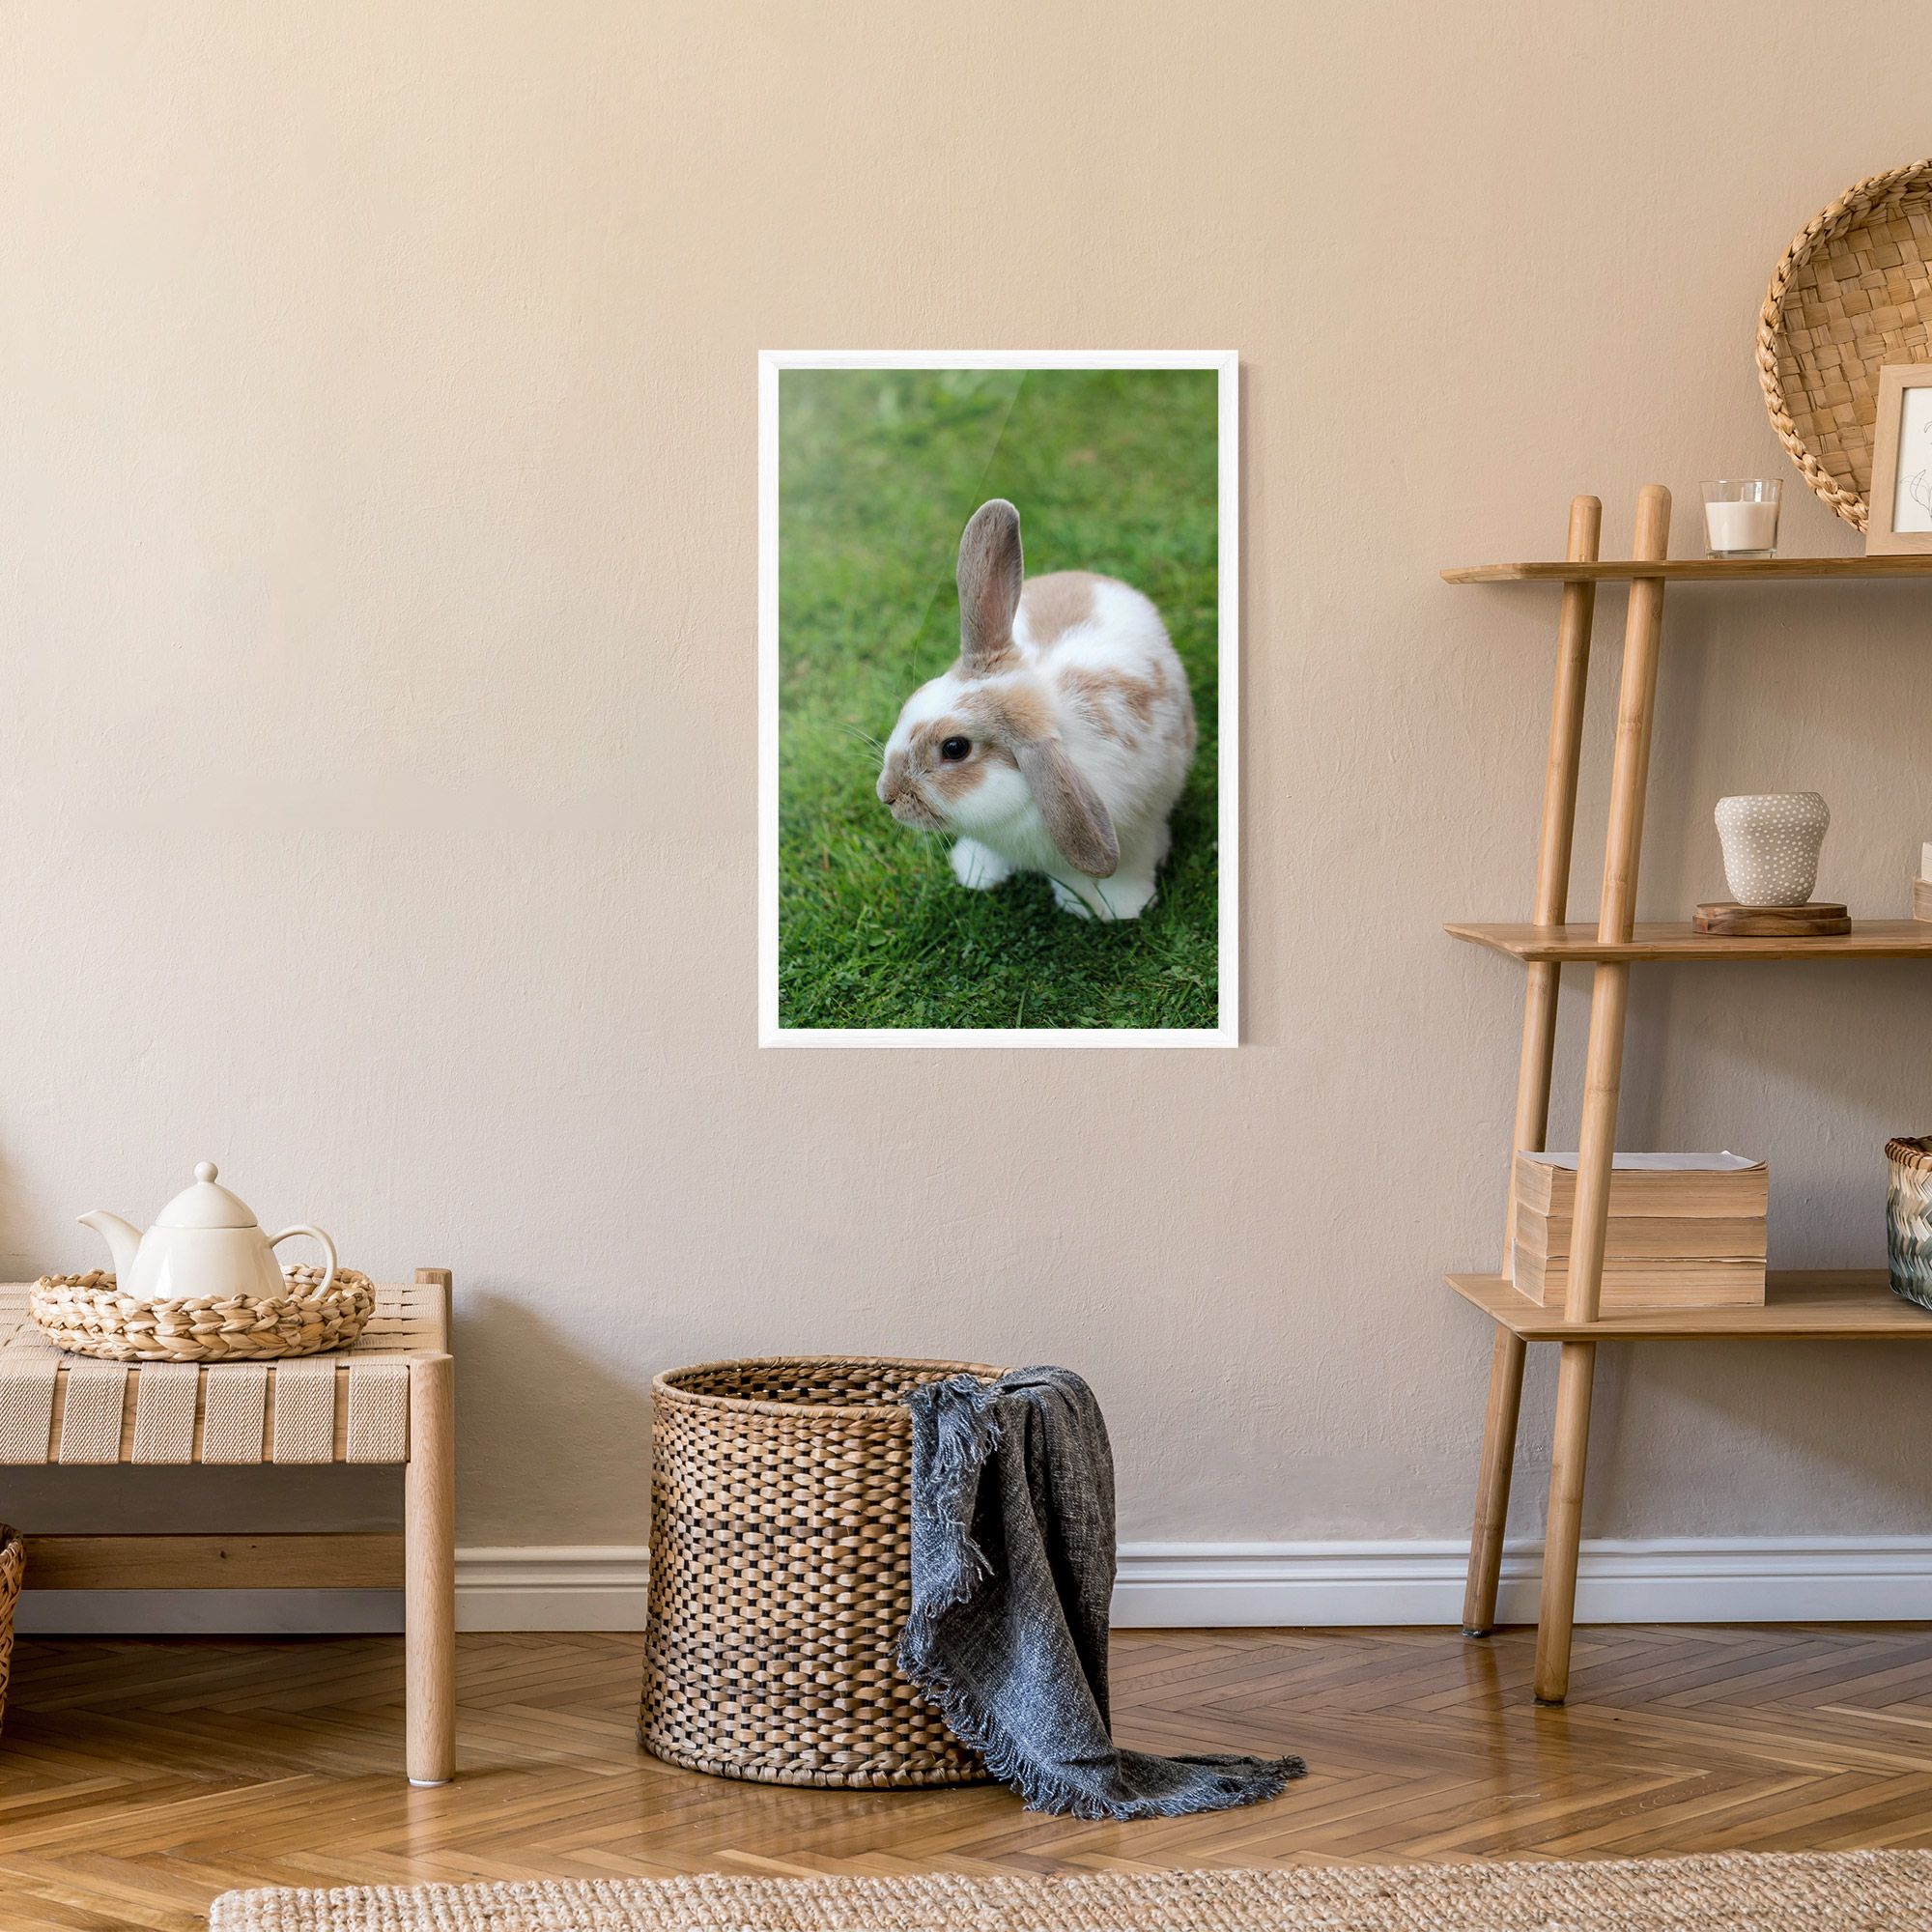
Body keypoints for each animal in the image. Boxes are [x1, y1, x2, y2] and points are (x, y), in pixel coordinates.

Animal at [876, 499, 1197, 920]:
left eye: (954, 748)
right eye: (917, 698)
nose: (887, 795)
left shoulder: (1135, 832)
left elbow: (1127, 870)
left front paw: (1121, 908)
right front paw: (975, 873)